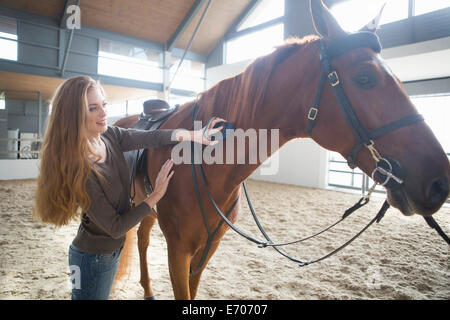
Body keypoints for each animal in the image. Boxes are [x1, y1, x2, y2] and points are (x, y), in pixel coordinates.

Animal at [113, 0, 450, 300]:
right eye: (365, 78)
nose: (439, 182)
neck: (206, 165)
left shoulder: (206, 249)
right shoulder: (178, 250)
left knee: (142, 237)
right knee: (141, 240)